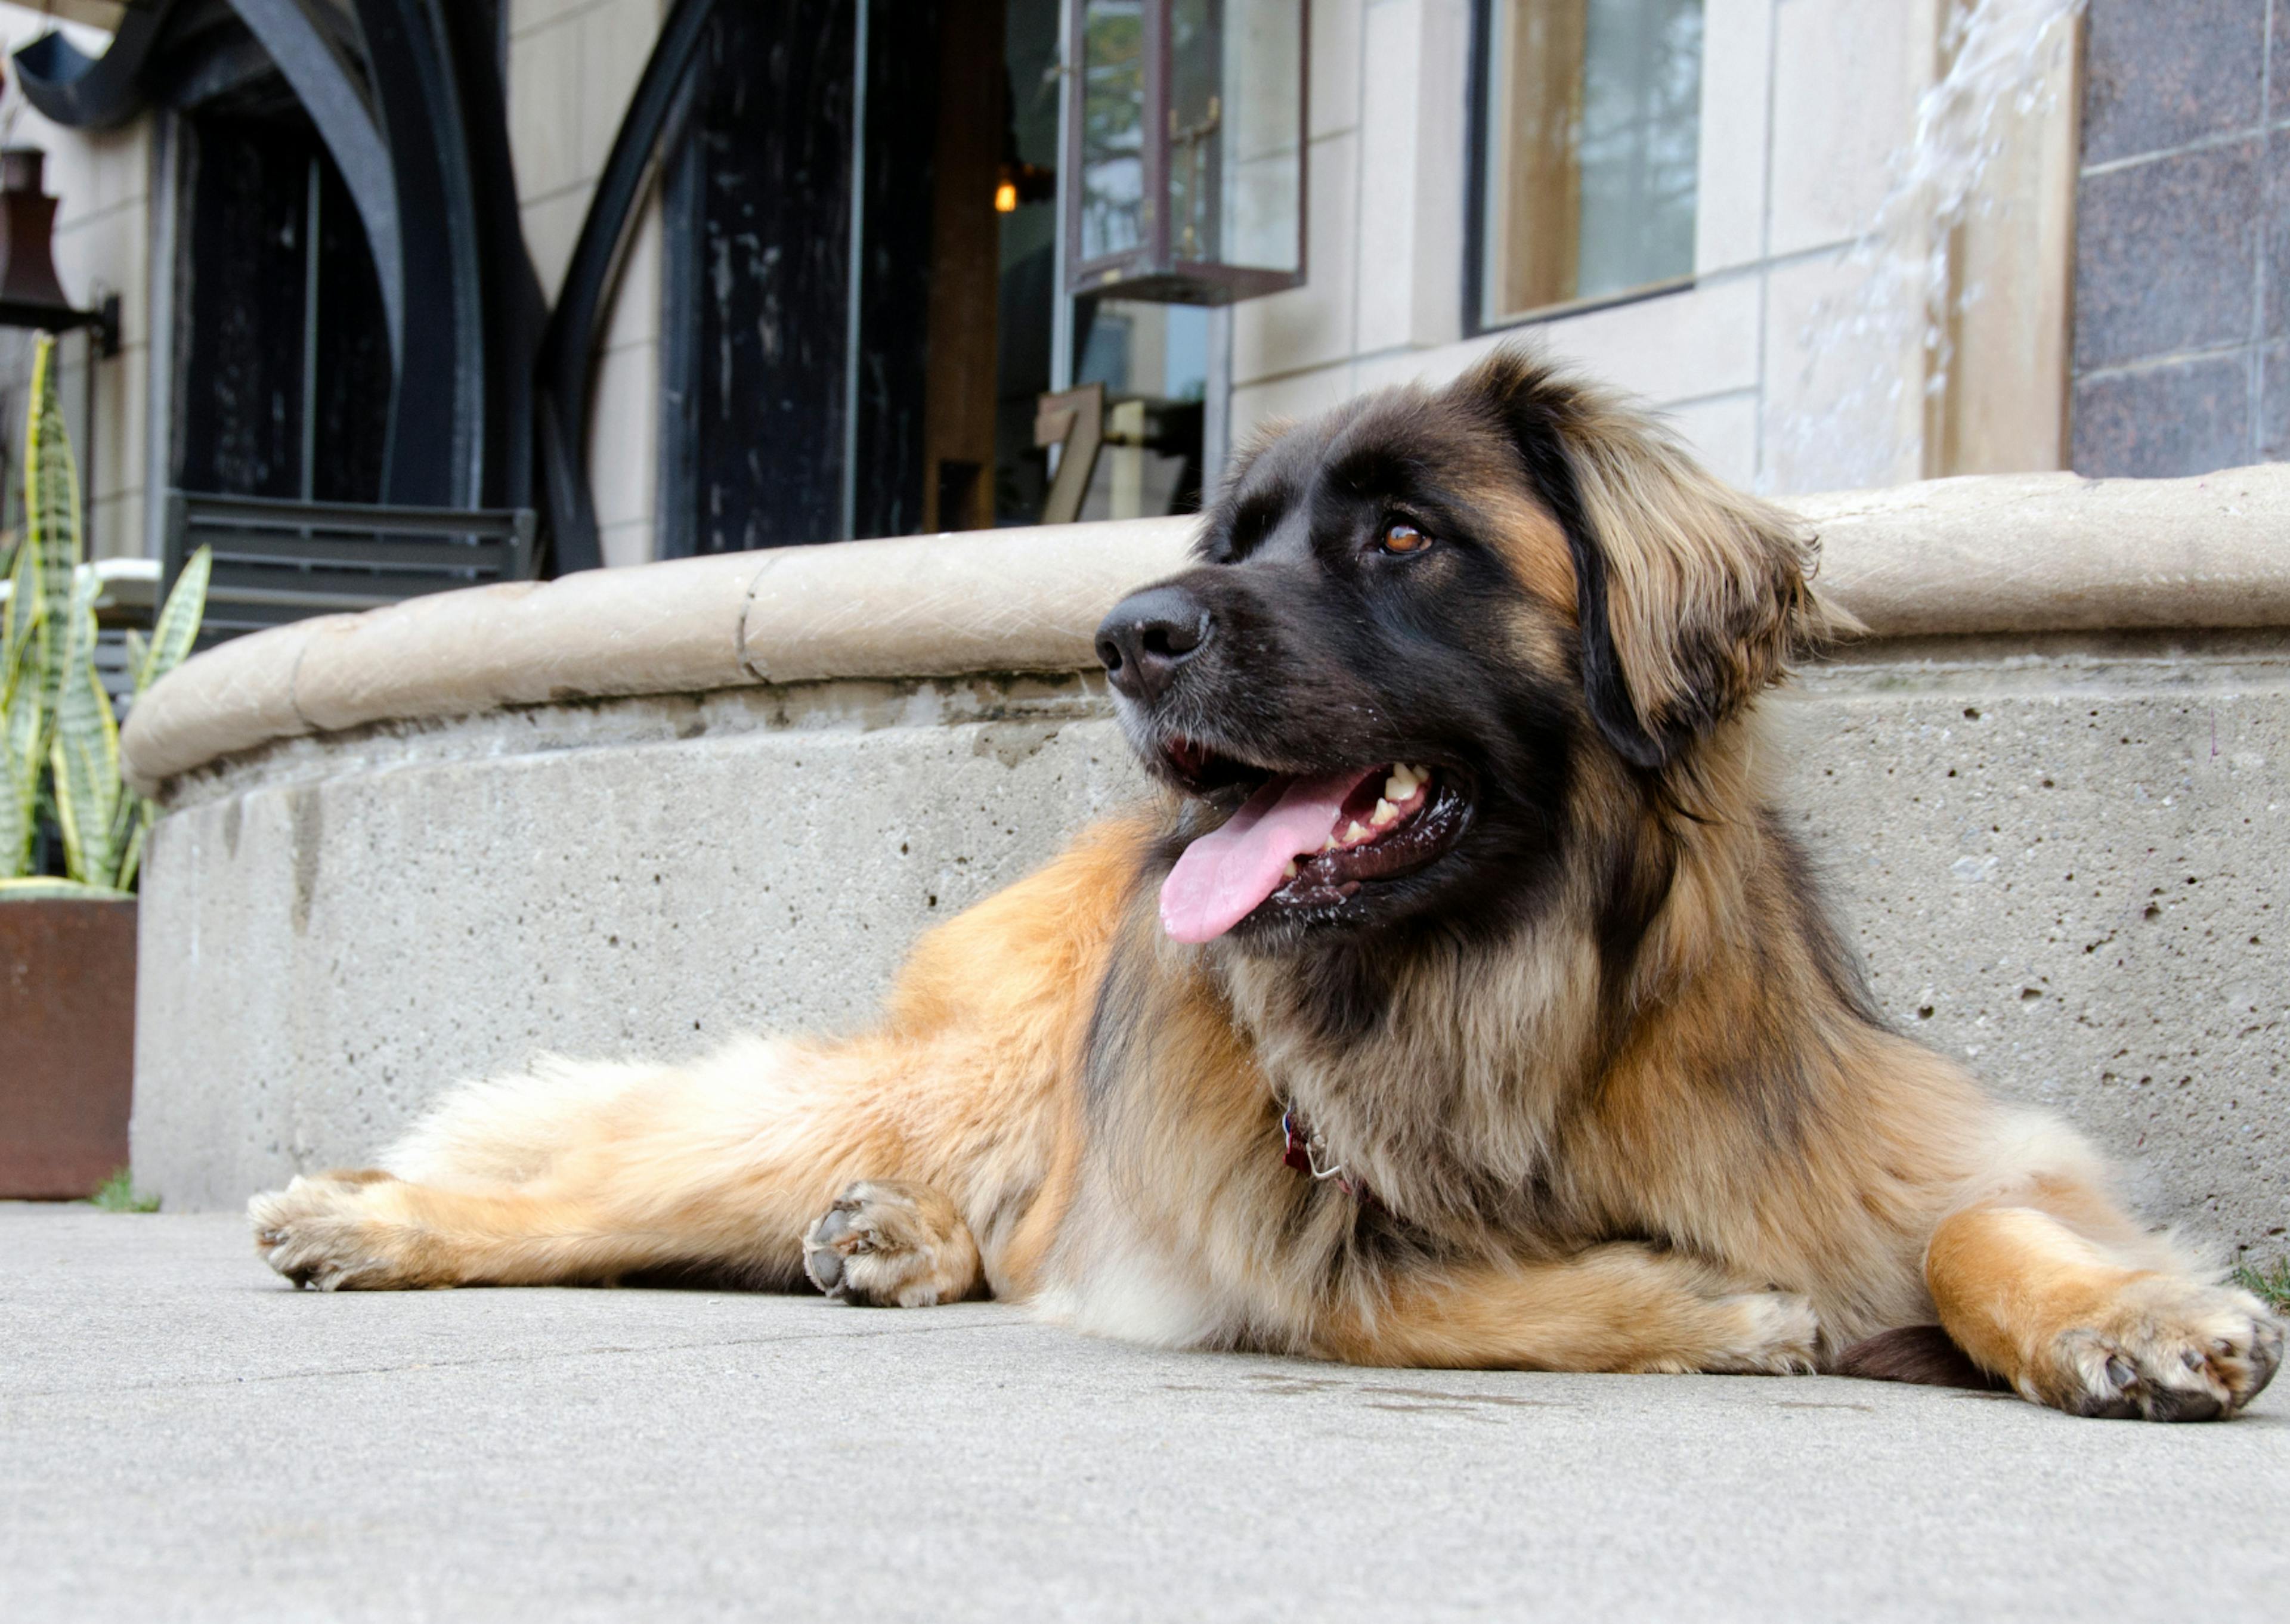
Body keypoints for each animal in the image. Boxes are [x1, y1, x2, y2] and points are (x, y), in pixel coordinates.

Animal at [250, 350, 2272, 1420]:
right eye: (1234, 538)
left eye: (1403, 536)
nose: (1124, 635)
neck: (1503, 990)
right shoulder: (1267, 1221)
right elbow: (1419, 1292)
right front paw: (1711, 1310)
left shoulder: (1900, 1139)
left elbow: (1973, 1218)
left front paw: (2127, 1315)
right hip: (955, 1076)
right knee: (620, 1176)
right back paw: (379, 1216)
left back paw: (896, 1240)